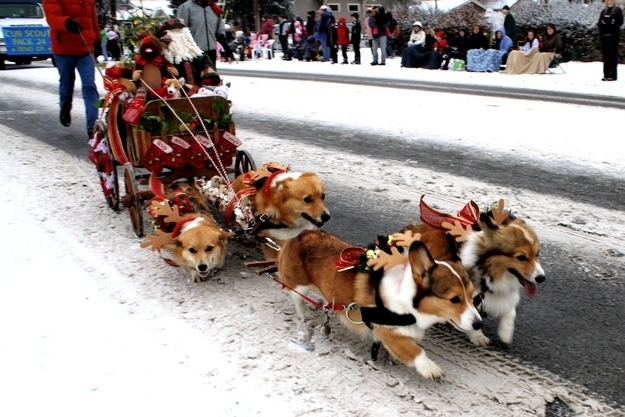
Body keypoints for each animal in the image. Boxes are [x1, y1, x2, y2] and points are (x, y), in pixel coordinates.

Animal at [276, 229, 480, 378]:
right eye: (455, 299)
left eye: (472, 296)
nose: (479, 324)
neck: (408, 301)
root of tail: (299, 235)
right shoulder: (388, 331)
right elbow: (415, 351)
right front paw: (430, 368)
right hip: (300, 284)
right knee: (296, 296)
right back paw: (304, 313)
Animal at [402, 197, 544, 346]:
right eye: (521, 257)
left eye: (537, 254)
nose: (541, 278)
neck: (487, 272)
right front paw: (478, 337)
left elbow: (510, 313)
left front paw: (506, 334)